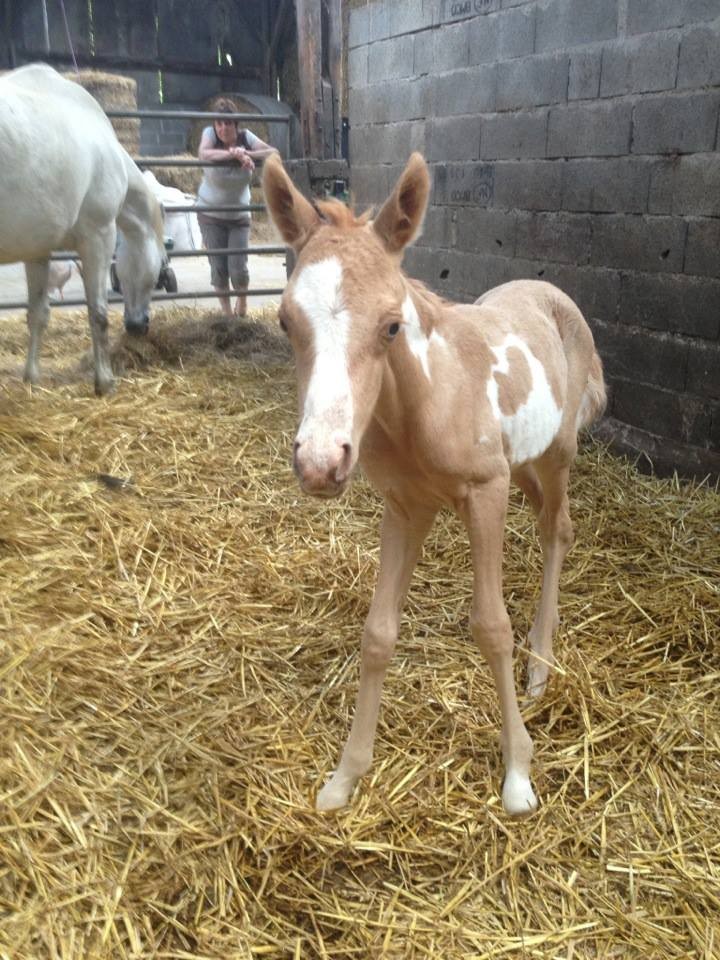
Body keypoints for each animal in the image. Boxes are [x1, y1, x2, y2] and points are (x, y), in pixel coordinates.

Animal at [0, 63, 166, 394]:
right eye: (158, 274)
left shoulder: (37, 250)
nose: (138, 325)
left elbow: (38, 314)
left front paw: (31, 376)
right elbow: (98, 314)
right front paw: (105, 382)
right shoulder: (98, 237)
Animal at [262, 154, 604, 812]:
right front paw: (345, 777)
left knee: (558, 529)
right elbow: (377, 633)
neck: (424, 401)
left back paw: (541, 664)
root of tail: (553, 293)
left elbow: (491, 627)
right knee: (550, 519)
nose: (319, 462)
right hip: (522, 463)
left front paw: (518, 774)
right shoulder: (406, 507)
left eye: (392, 326)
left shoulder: (485, 491)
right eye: (285, 321)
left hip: (555, 452)